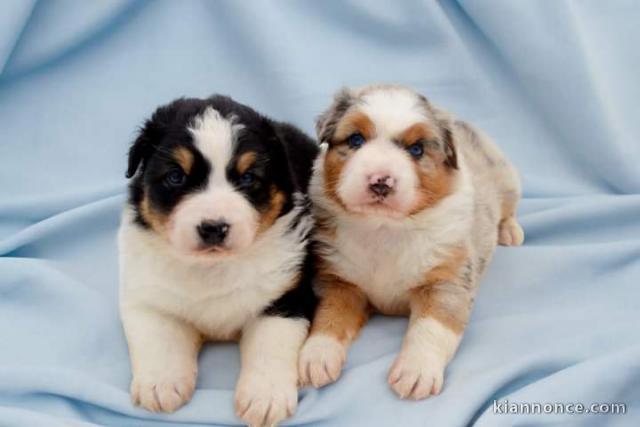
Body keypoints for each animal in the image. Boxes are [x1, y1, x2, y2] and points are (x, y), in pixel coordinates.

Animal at [117, 95, 318, 426]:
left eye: (248, 178)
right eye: (176, 177)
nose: (213, 227)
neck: (212, 268)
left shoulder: (287, 295)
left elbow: (270, 343)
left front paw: (265, 396)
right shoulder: (147, 293)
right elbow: (159, 338)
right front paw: (161, 383)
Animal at [298, 84, 524, 402]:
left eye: (416, 150)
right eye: (356, 139)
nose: (380, 180)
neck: (385, 229)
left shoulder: (446, 282)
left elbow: (430, 328)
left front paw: (416, 372)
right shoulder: (339, 281)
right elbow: (330, 316)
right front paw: (316, 356)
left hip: (506, 178)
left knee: (508, 208)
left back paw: (510, 232)